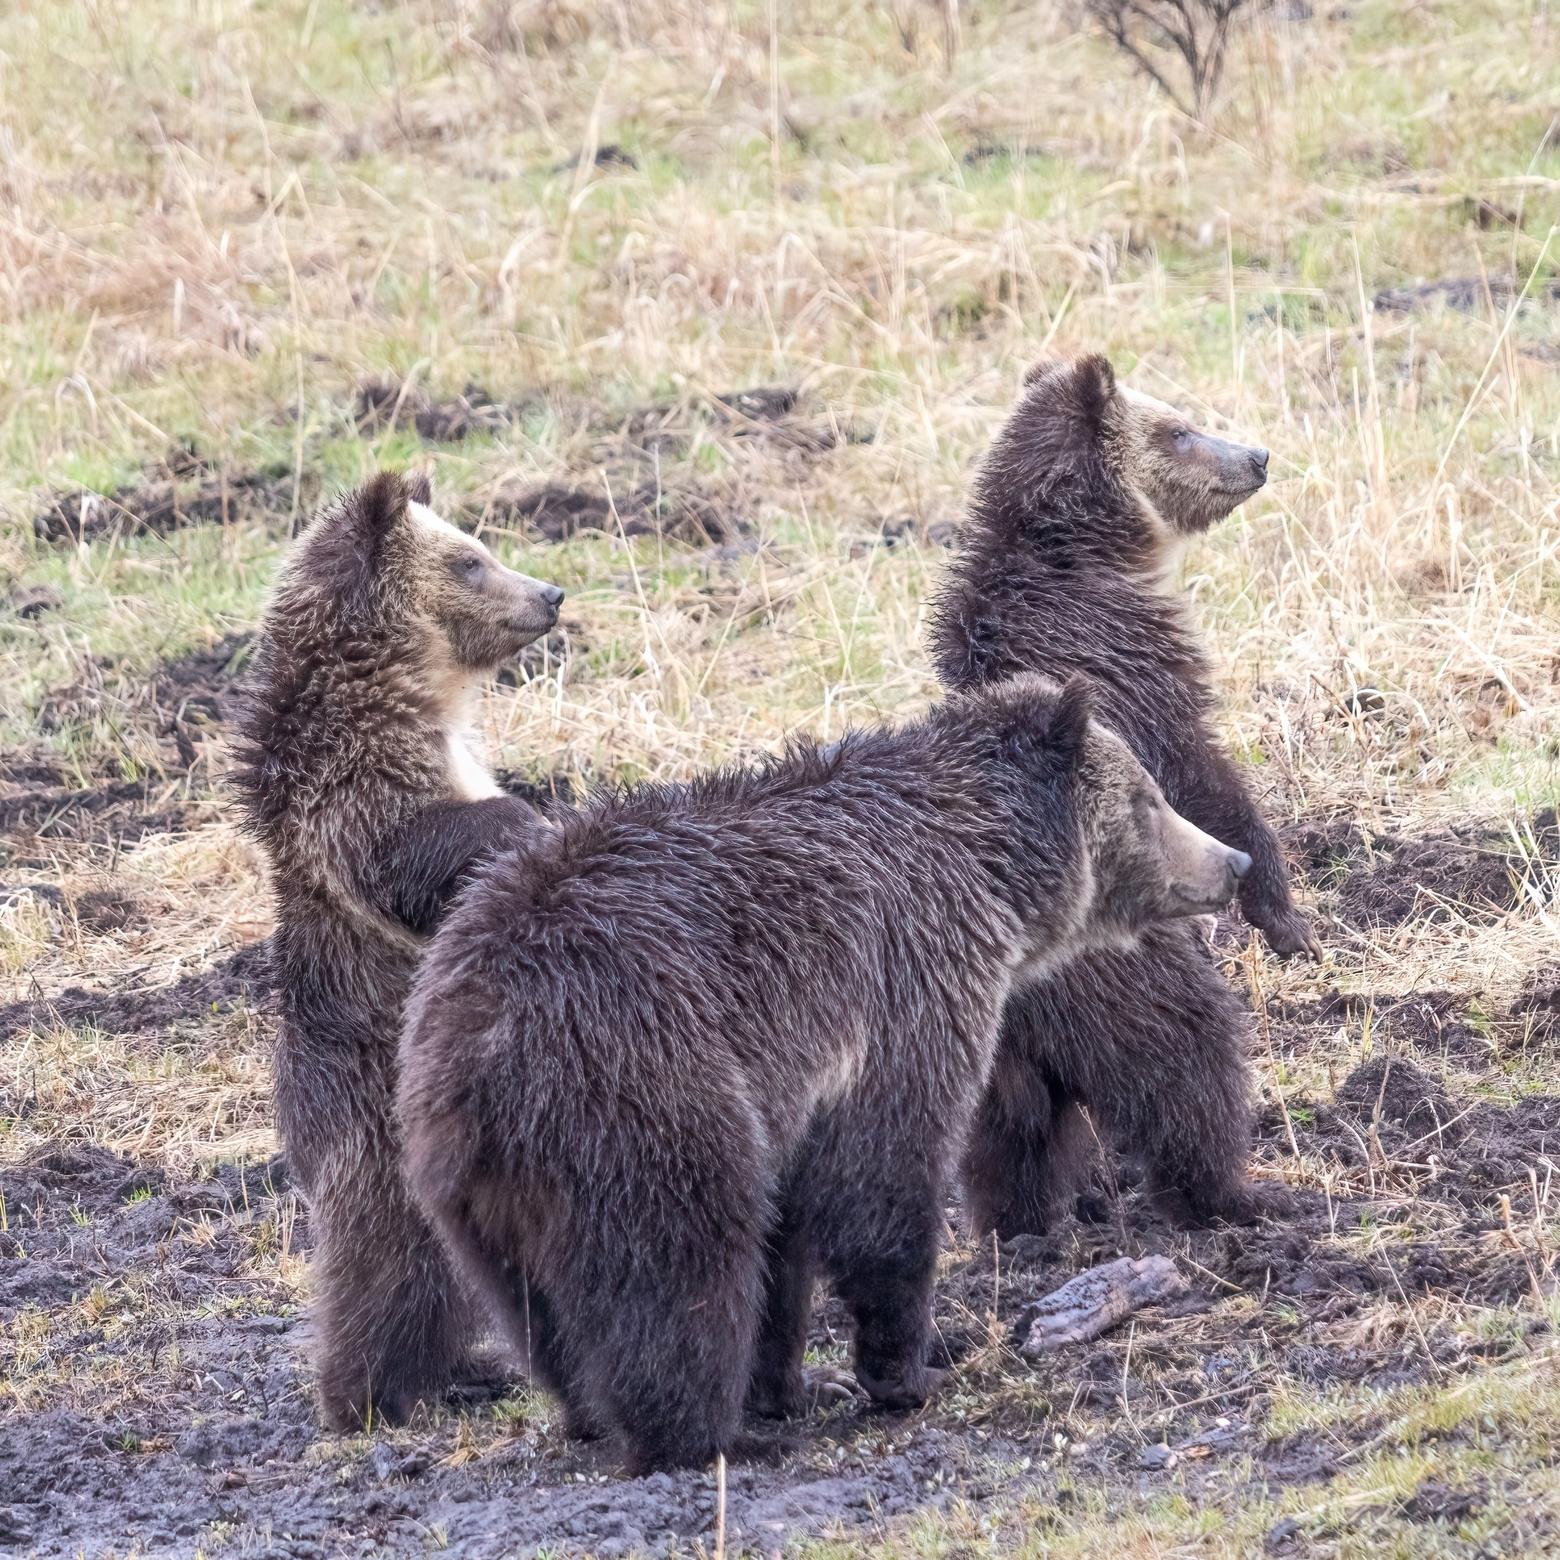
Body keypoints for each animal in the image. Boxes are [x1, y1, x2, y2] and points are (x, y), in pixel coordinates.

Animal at [233, 471, 564, 1428]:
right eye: (470, 559)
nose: (552, 593)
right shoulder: (348, 787)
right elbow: (407, 856)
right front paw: (525, 825)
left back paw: (472, 1369)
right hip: (380, 1128)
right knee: (393, 1267)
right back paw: (376, 1394)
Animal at [396, 673, 1248, 1472]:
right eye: (1149, 798)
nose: (1232, 860)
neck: (987, 870)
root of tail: (478, 1036)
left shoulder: (799, 1095)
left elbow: (789, 1244)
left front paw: (797, 1383)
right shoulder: (902, 991)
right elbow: (882, 1185)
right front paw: (907, 1370)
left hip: (474, 1188)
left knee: (535, 1311)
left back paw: (590, 1414)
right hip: (643, 1098)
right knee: (676, 1280)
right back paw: (704, 1438)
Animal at [923, 357, 1316, 1241]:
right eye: (1178, 427)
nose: (1258, 455)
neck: (1086, 559)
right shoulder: (1133, 667)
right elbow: (1203, 778)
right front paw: (1286, 917)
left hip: (991, 1050)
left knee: (1010, 1135)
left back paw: (1023, 1228)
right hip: (1124, 977)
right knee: (1188, 1060)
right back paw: (1246, 1194)